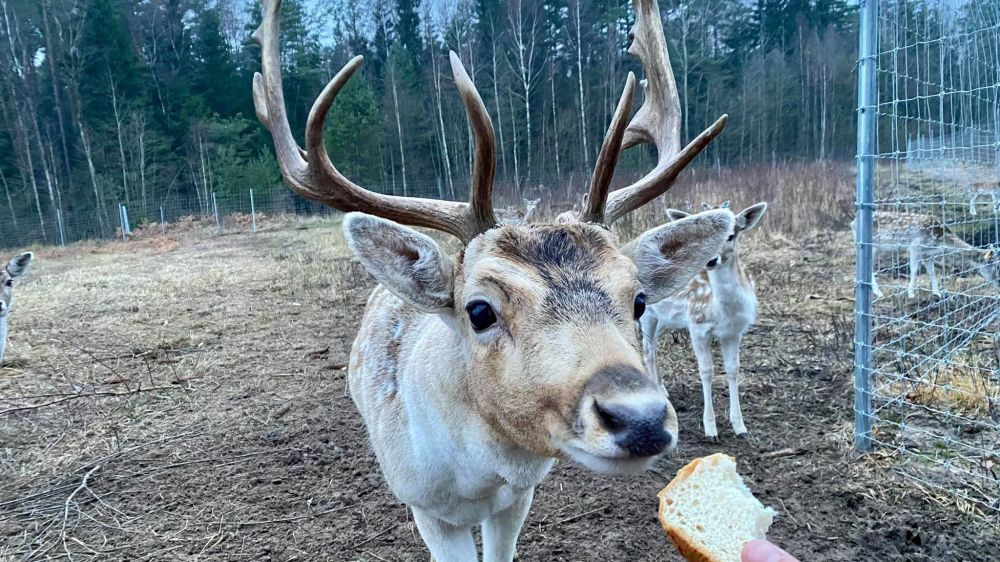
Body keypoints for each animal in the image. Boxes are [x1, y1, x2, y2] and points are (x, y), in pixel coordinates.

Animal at [254, 0, 732, 556]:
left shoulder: (517, 498)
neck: (477, 480)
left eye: (637, 299)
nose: (641, 419)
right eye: (479, 310)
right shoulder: (428, 509)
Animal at [640, 199, 764, 440]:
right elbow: (706, 371)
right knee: (647, 350)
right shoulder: (697, 326)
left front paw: (740, 427)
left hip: (664, 319)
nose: (711, 260)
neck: (723, 311)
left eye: (731, 235)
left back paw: (662, 388)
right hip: (647, 313)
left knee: (654, 348)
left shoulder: (735, 332)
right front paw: (710, 429)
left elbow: (733, 369)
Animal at [860, 209, 1000, 298]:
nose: (997, 282)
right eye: (992, 265)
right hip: (872, 246)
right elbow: (914, 270)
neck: (940, 240)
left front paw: (937, 293)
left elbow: (932, 272)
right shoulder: (915, 246)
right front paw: (911, 294)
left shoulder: (927, 254)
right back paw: (878, 293)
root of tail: (855, 220)